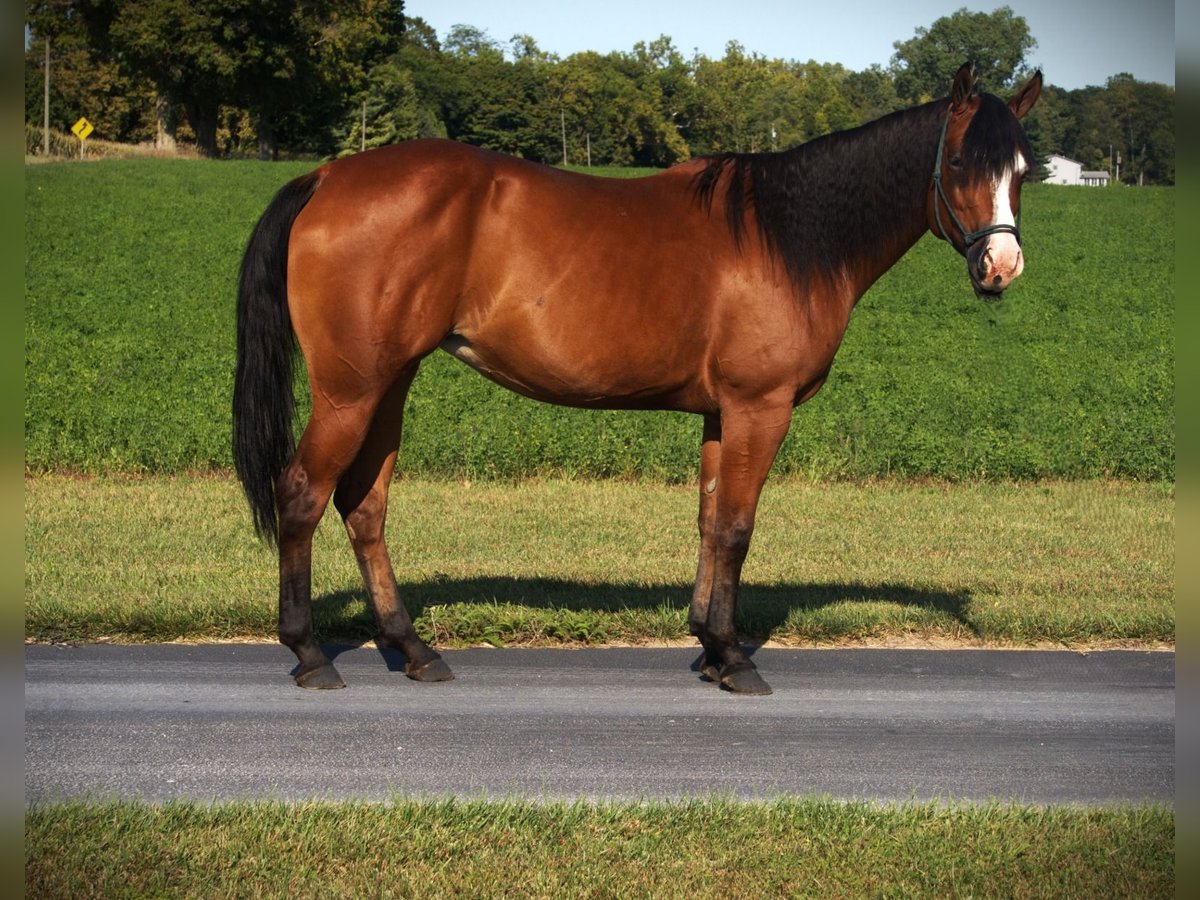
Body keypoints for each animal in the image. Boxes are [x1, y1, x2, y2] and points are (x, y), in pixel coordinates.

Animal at [233, 63, 1041, 695]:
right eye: (961, 162)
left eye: (1023, 172)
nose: (1001, 268)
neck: (788, 236)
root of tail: (328, 175)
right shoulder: (760, 408)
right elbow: (739, 526)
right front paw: (735, 659)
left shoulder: (721, 414)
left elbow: (711, 522)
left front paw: (709, 645)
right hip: (350, 392)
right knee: (301, 493)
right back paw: (309, 653)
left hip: (389, 384)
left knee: (364, 505)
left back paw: (411, 648)